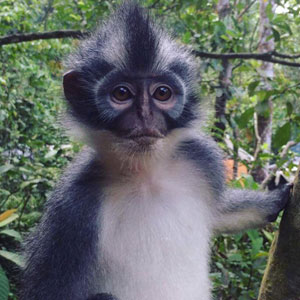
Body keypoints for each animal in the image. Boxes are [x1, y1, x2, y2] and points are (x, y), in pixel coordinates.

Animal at [20, 2, 290, 300]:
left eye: (162, 93)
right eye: (122, 93)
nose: (145, 116)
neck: (145, 175)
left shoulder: (200, 158)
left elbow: (222, 211)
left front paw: (277, 197)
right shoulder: (70, 211)